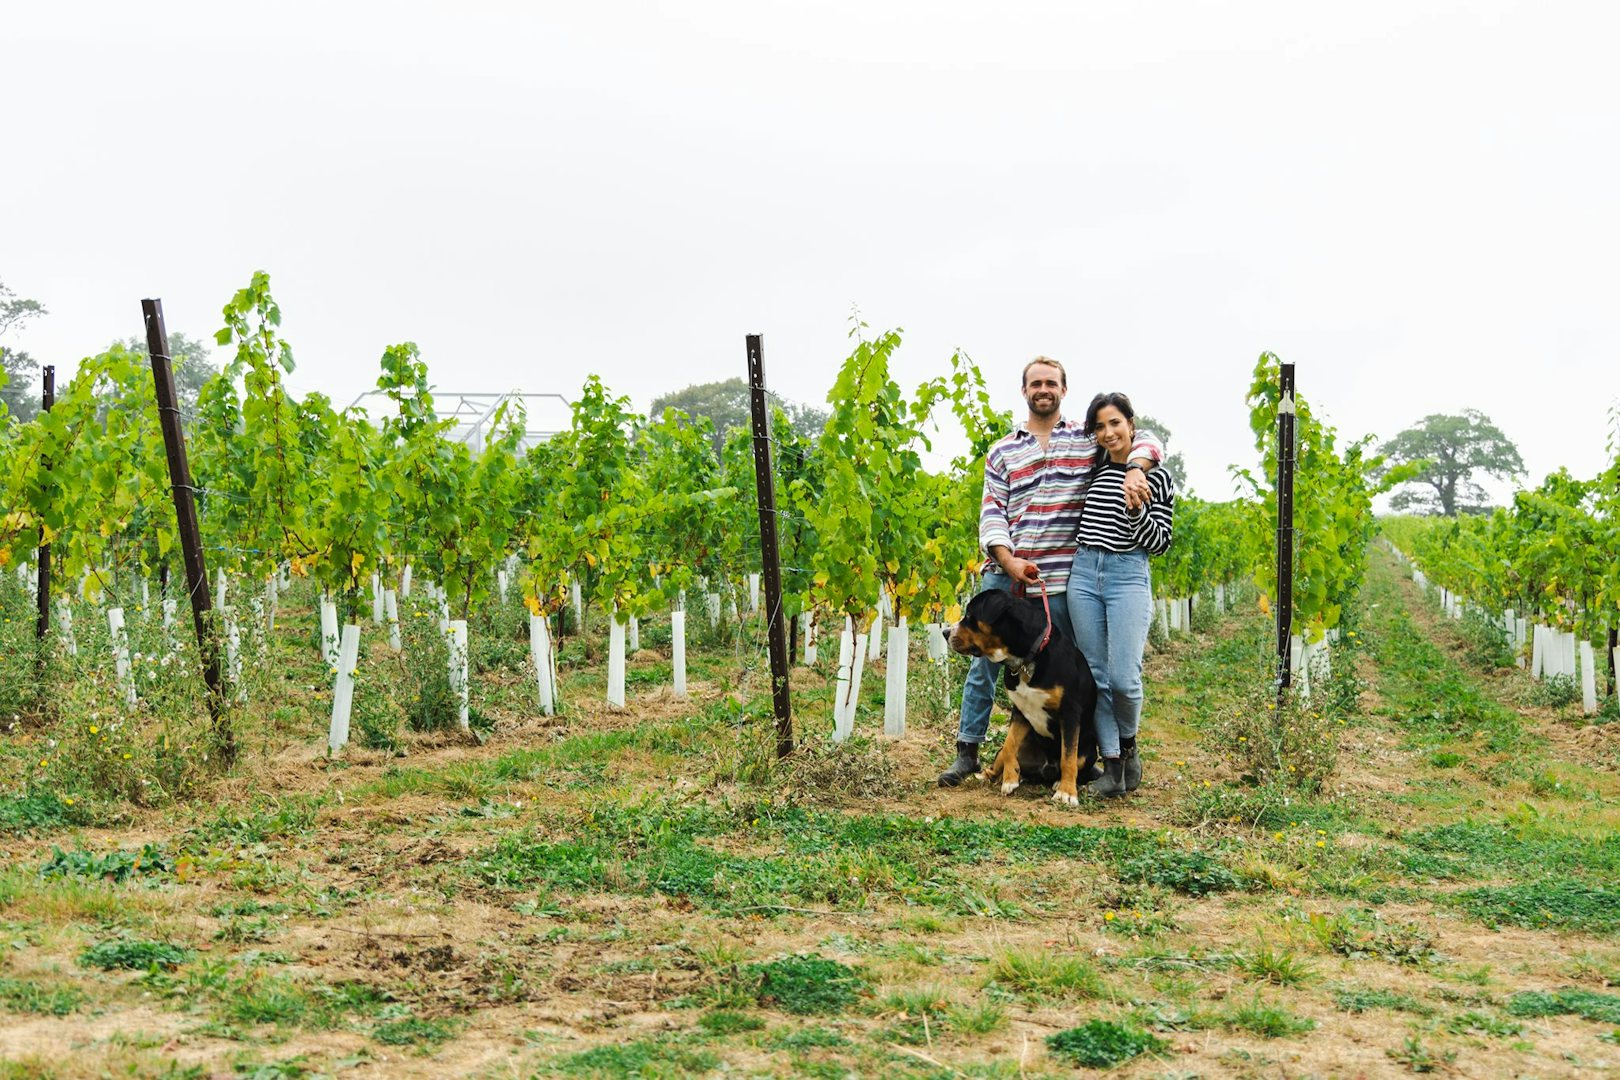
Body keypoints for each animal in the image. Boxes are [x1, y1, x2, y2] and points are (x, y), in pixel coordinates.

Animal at [946, 586, 1101, 806]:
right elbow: (1009, 744)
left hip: (1088, 753)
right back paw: (986, 775)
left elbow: (1068, 757)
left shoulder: (1070, 713)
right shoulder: (1020, 710)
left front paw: (1067, 792)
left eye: (969, 616)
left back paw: (1059, 783)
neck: (1027, 661)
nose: (945, 632)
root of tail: (1046, 768)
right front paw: (1010, 778)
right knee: (1001, 753)